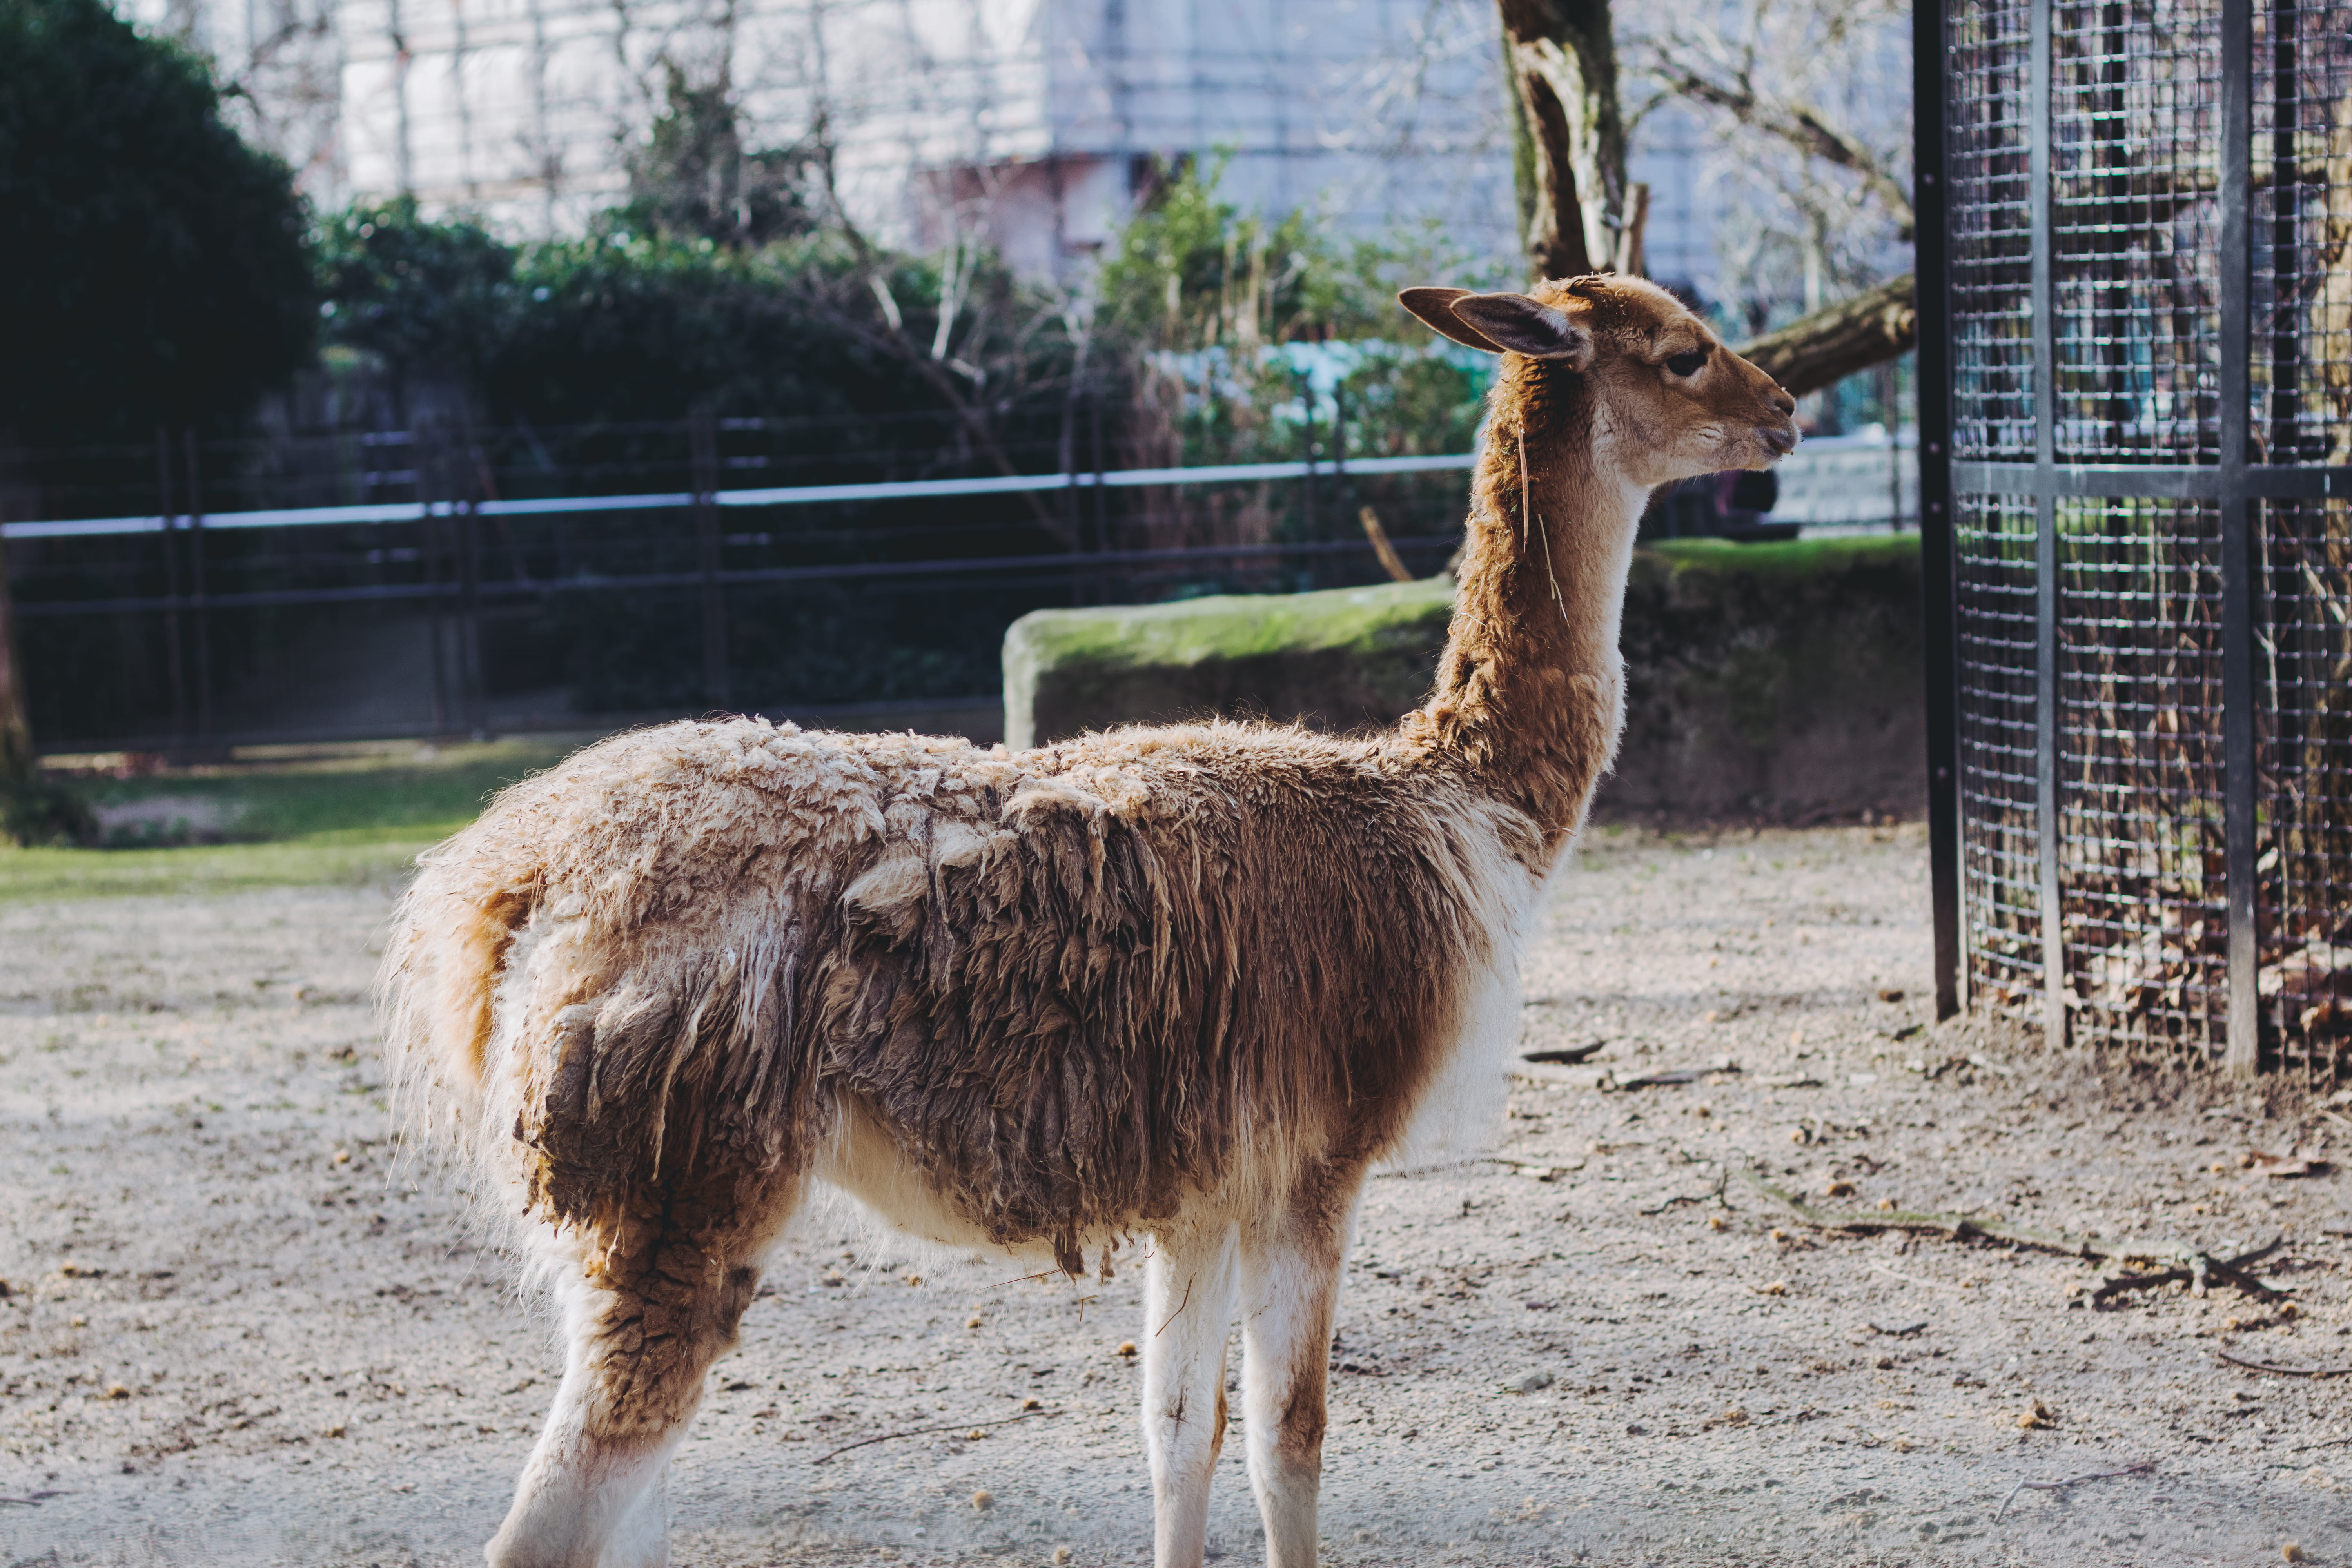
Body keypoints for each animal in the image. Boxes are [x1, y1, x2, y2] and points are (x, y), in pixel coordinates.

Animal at [375, 273, 1798, 1568]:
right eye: (1685, 350)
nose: (1784, 411)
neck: (1452, 809)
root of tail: (502, 874)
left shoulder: (1205, 1186)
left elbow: (1180, 1435)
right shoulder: (1314, 1160)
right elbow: (1292, 1442)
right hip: (679, 1177)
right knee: (552, 1515)